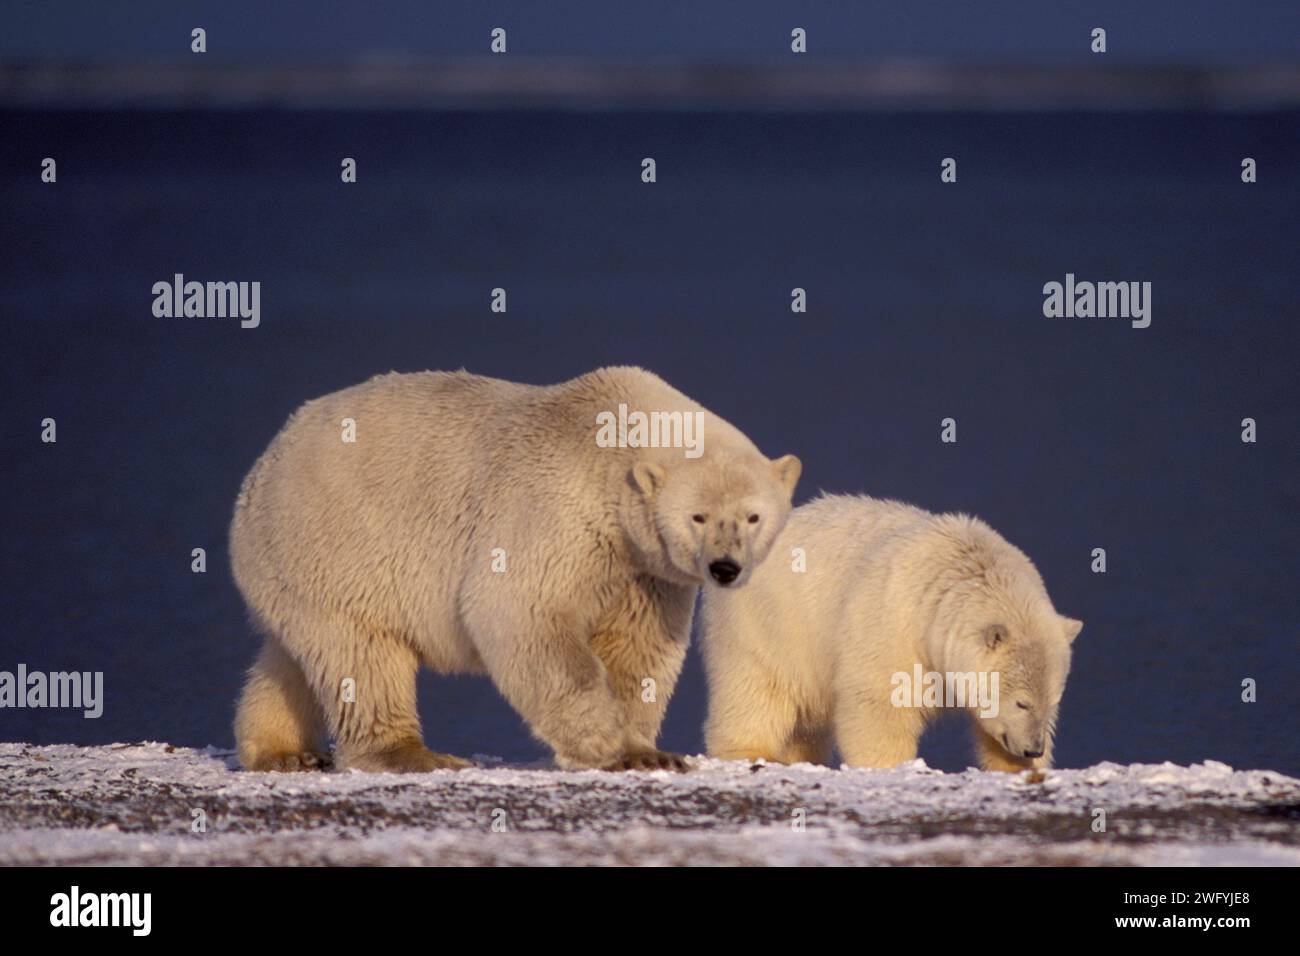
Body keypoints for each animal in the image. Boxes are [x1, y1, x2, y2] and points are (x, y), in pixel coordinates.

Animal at [233, 364, 800, 770]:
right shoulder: (556, 509)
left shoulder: (643, 569)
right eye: (698, 515)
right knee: (363, 655)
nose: (724, 568)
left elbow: (637, 645)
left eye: (753, 516)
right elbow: (519, 612)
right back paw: (412, 755)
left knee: (296, 656)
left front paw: (647, 749)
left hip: (295, 565)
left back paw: (284, 752)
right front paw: (610, 747)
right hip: (337, 540)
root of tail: (266, 462)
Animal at [707, 496, 1081, 775]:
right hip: (770, 623)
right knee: (756, 688)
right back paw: (751, 751)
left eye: (1054, 701)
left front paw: (1014, 767)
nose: (1032, 749)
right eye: (1022, 702)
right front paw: (890, 765)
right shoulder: (894, 623)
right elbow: (880, 702)